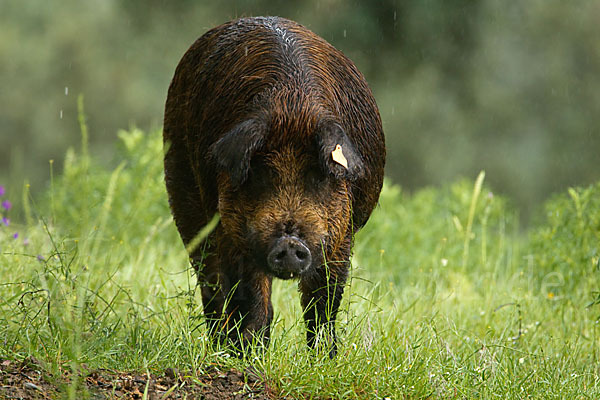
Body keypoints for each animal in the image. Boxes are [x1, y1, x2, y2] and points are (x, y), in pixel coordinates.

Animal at [164, 16, 384, 356]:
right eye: (261, 173)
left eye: (318, 175)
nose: (290, 242)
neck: (293, 109)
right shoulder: (232, 229)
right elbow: (250, 296)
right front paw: (248, 356)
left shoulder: (340, 233)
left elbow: (323, 301)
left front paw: (325, 359)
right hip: (182, 188)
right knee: (210, 283)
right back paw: (219, 348)